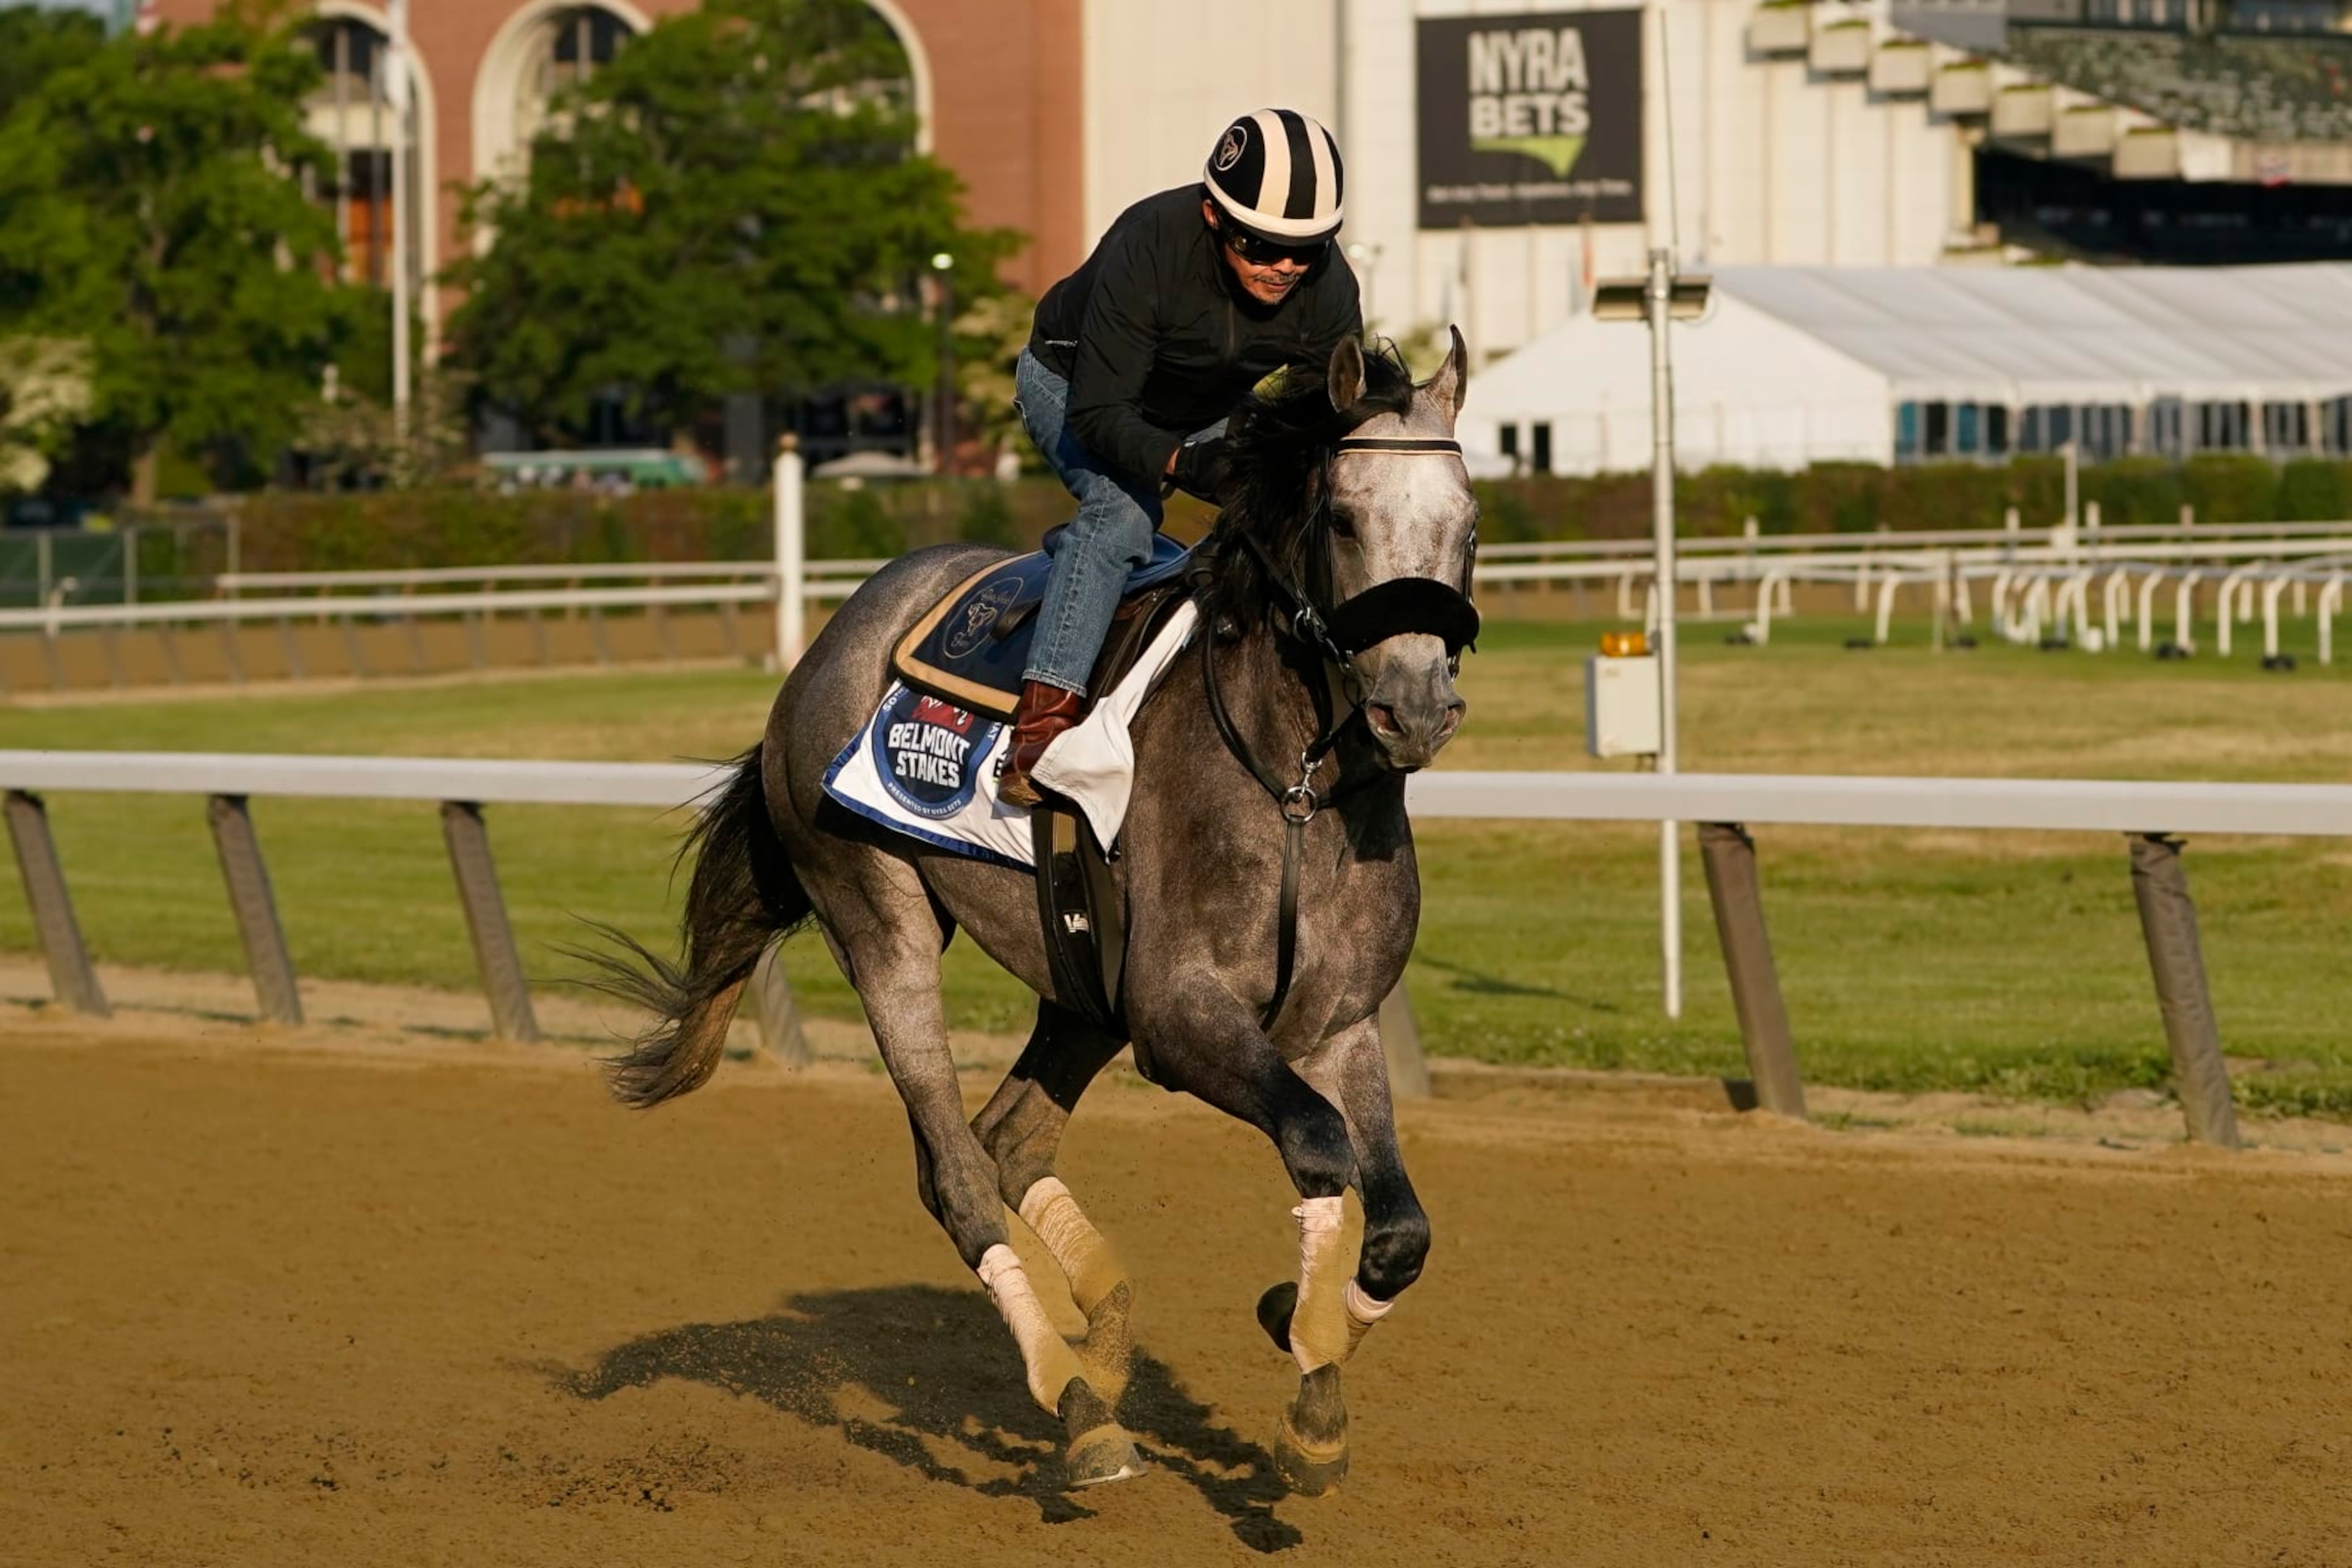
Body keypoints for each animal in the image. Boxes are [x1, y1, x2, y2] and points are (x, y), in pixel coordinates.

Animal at [590, 328, 1479, 1494]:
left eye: (1468, 521)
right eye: (1342, 518)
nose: (1414, 708)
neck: (1293, 784)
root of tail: (835, 635)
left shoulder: (1337, 1022)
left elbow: (1403, 1228)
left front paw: (1304, 1337)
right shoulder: (1179, 1018)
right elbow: (1320, 1146)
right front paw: (1308, 1368)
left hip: (1078, 981)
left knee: (1009, 1138)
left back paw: (1097, 1331)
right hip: (880, 918)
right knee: (959, 1173)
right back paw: (1078, 1403)